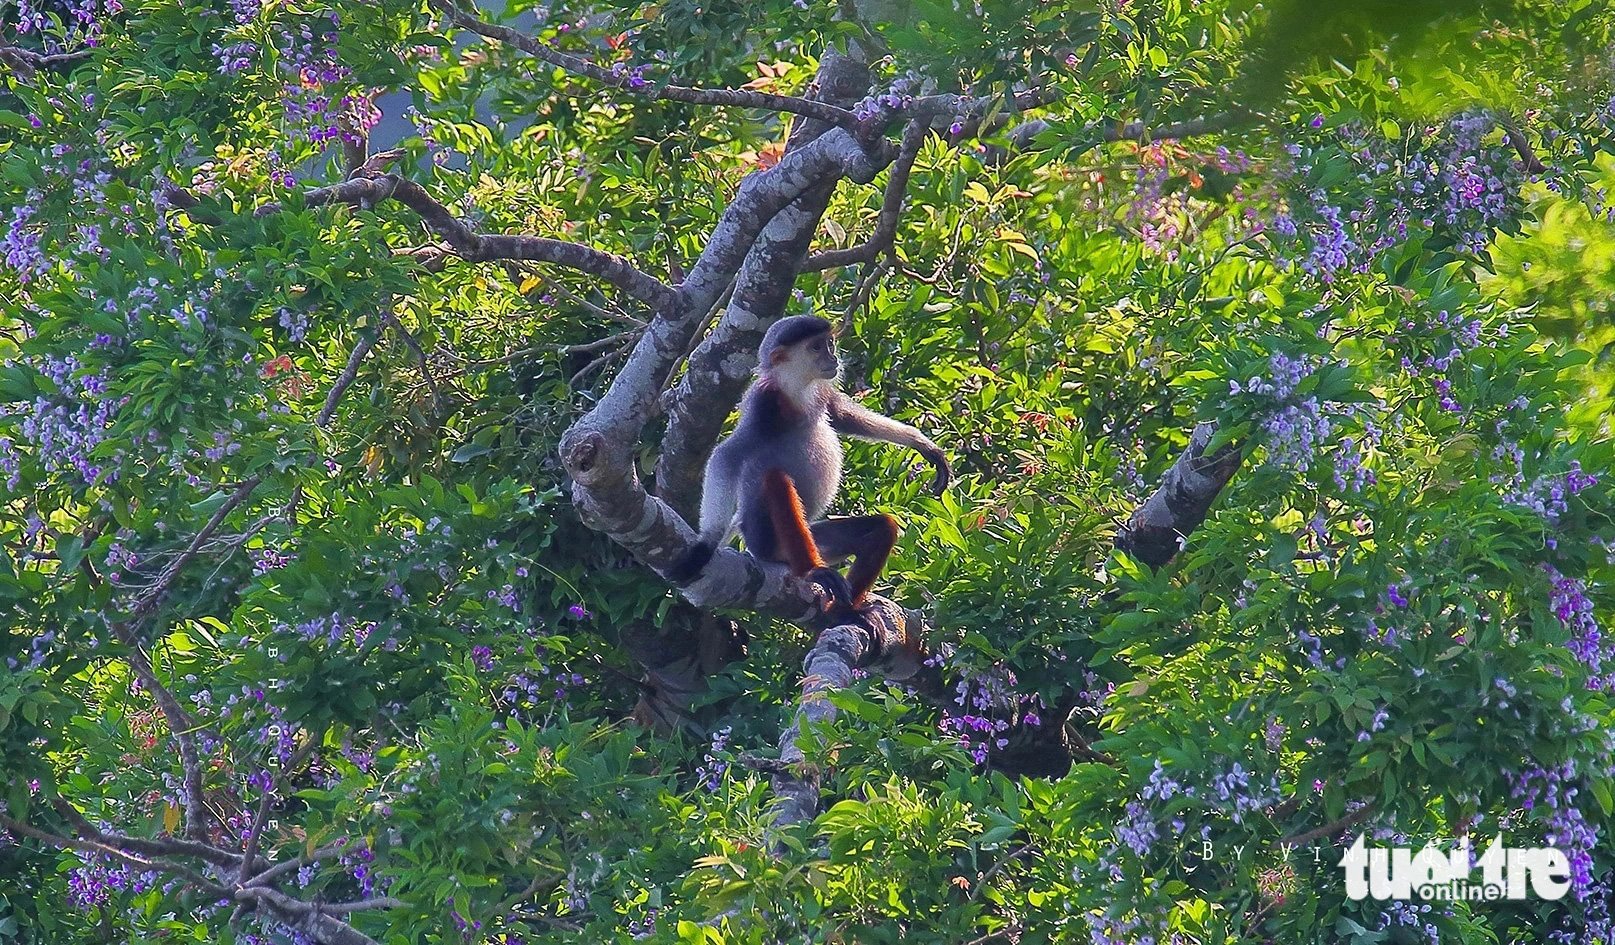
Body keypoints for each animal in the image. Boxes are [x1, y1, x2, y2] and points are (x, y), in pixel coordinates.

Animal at [665, 313, 949, 613]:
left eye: (829, 343)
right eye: (816, 347)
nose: (833, 357)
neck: (797, 390)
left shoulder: (821, 392)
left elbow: (843, 416)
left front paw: (923, 444)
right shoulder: (763, 402)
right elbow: (726, 455)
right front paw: (706, 544)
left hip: (819, 540)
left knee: (881, 528)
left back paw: (846, 610)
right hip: (762, 537)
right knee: (774, 478)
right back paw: (812, 571)